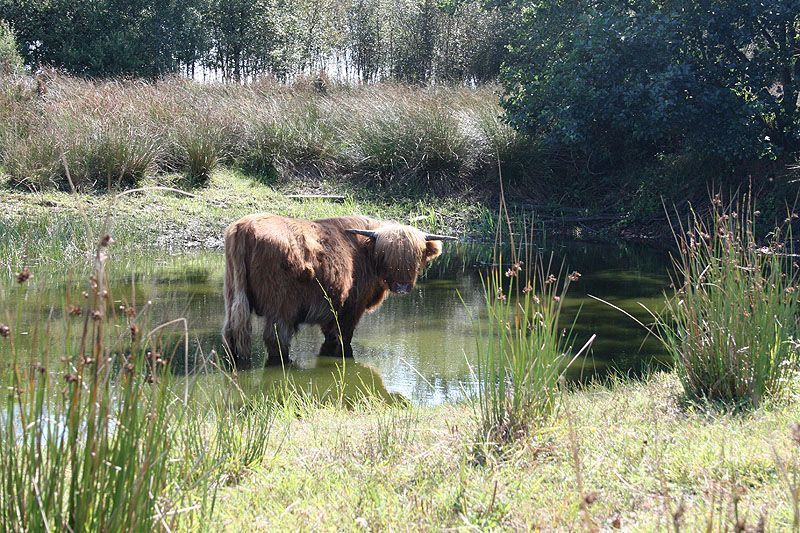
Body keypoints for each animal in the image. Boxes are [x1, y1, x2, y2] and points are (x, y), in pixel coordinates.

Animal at [222, 214, 456, 364]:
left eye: (416, 256)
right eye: (385, 255)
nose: (401, 286)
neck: (365, 252)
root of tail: (244, 226)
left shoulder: (331, 308)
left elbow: (330, 335)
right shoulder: (352, 307)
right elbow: (344, 336)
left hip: (233, 295)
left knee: (231, 333)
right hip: (281, 307)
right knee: (276, 339)